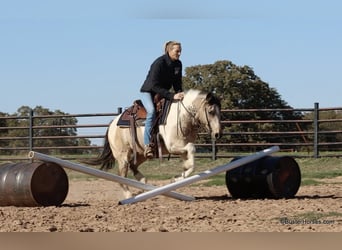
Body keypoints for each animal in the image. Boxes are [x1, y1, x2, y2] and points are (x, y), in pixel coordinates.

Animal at [89, 89, 222, 198]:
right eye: (211, 111)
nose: (218, 134)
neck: (181, 116)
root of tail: (113, 123)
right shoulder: (173, 146)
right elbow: (192, 149)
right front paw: (177, 178)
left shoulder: (182, 149)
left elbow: (190, 165)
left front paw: (178, 178)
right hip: (123, 156)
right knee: (122, 174)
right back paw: (128, 194)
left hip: (141, 153)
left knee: (133, 166)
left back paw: (143, 185)